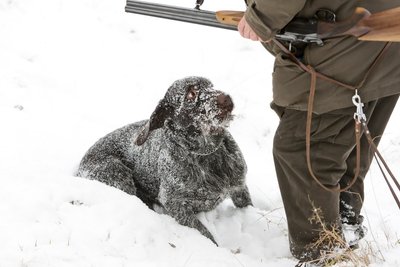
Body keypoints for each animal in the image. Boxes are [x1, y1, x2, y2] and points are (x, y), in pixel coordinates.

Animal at [77, 76, 252, 245]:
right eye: (191, 94)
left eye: (211, 85)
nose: (226, 99)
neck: (206, 154)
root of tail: (78, 170)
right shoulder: (175, 204)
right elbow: (204, 233)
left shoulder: (239, 187)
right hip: (118, 174)